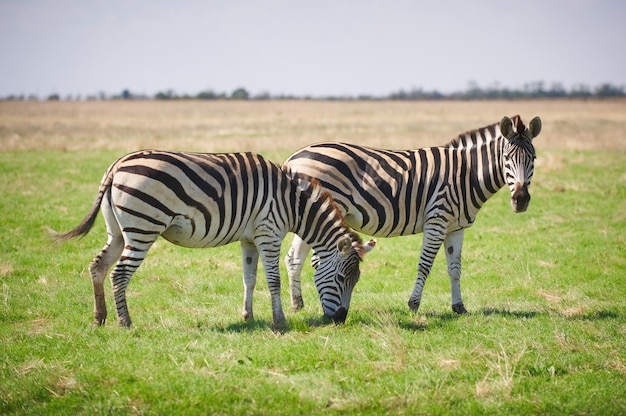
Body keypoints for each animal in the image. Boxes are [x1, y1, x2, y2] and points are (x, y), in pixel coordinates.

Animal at [52, 150, 370, 328]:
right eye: (342, 279)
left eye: (356, 281)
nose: (340, 320)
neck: (292, 203)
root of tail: (116, 165)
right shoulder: (269, 233)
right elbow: (273, 280)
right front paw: (279, 322)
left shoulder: (249, 238)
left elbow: (249, 278)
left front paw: (247, 317)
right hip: (143, 228)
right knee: (119, 274)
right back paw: (125, 322)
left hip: (118, 231)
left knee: (98, 267)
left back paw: (99, 318)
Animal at [286, 115, 540, 314]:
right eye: (506, 158)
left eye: (533, 158)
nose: (521, 200)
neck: (466, 174)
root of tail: (294, 156)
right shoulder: (437, 221)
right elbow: (425, 265)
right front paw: (414, 304)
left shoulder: (456, 228)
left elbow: (455, 269)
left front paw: (459, 307)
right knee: (302, 257)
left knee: (294, 257)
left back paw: (298, 305)